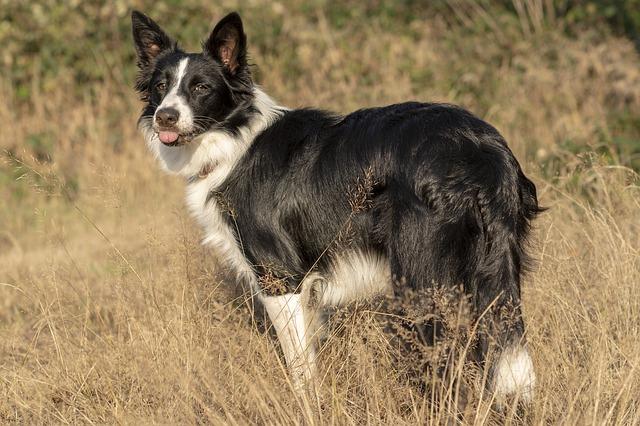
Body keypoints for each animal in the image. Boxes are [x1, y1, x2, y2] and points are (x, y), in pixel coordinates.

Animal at [131, 9, 540, 402]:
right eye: (160, 86)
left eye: (201, 88)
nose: (164, 117)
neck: (233, 137)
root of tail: (481, 150)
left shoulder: (280, 278)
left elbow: (300, 368)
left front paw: (306, 407)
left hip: (423, 276)